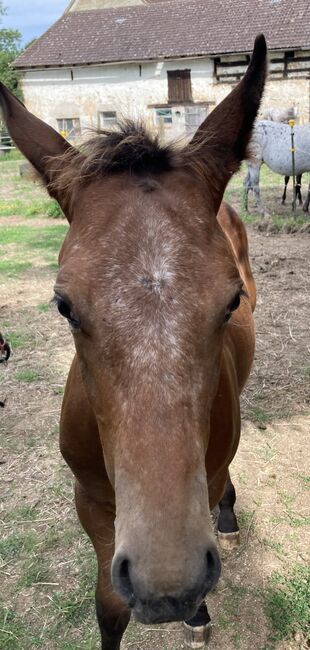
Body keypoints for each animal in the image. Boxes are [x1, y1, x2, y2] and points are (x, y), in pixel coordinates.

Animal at [0, 35, 266, 648]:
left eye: (231, 301)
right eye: (64, 305)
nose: (166, 585)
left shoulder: (202, 480)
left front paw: (198, 611)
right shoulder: (93, 505)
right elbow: (108, 606)